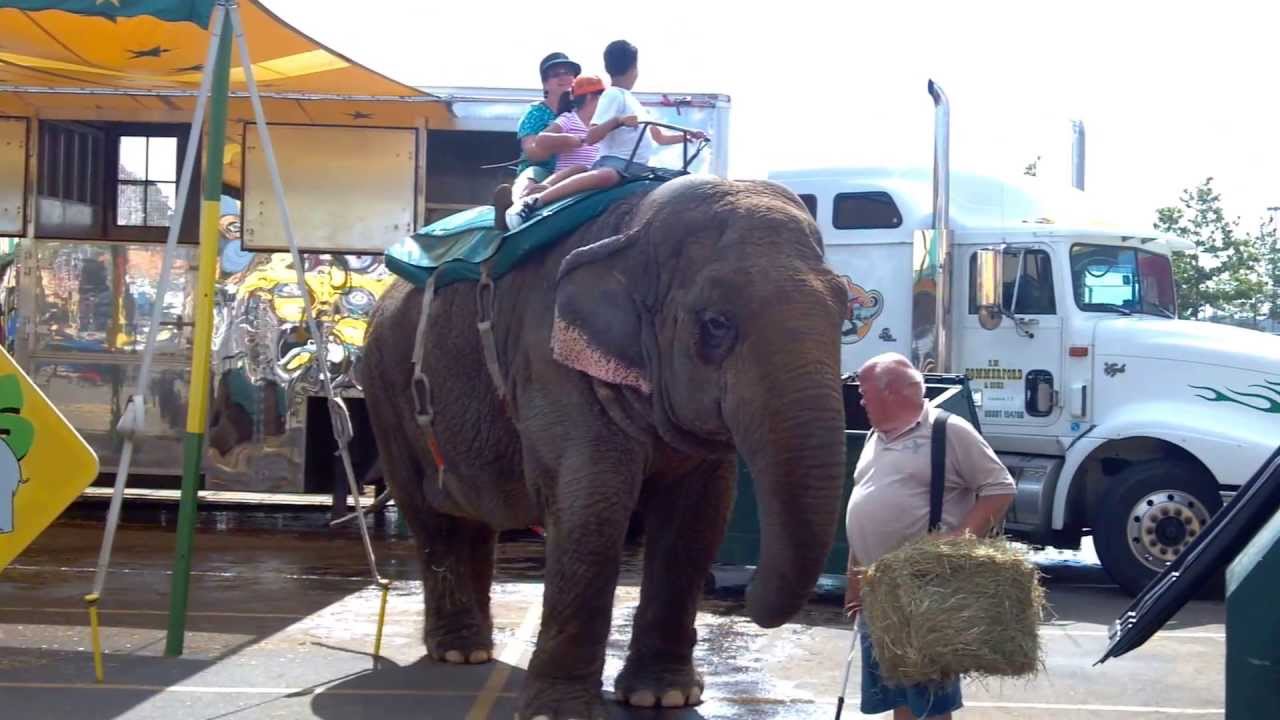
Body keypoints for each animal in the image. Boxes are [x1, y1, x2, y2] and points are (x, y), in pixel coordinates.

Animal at [361, 174, 849, 719]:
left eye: (846, 314)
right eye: (716, 324)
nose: (743, 596)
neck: (631, 229)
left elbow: (698, 515)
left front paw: (664, 697)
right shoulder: (550, 362)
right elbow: (592, 507)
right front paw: (559, 713)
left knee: (474, 516)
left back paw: (476, 649)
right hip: (384, 387)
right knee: (431, 514)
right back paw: (459, 651)